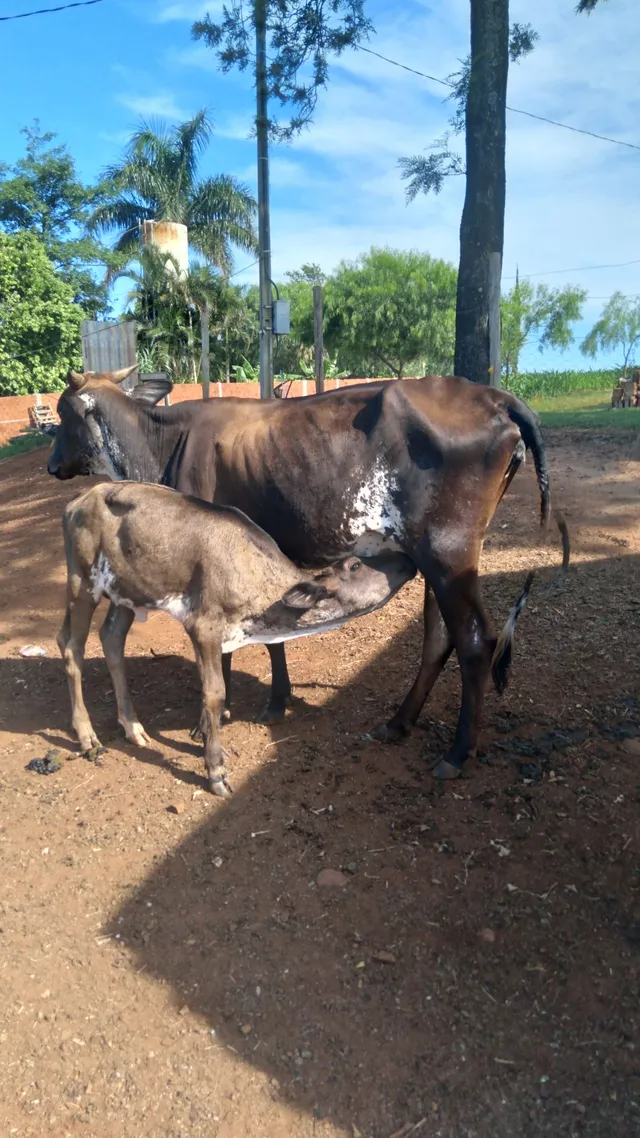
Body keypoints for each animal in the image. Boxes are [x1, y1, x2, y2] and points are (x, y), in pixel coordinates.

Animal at [60, 482, 417, 795]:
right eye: (355, 565)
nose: (406, 558)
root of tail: (76, 501)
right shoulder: (203, 626)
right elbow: (214, 694)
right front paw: (215, 771)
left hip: (127, 594)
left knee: (111, 639)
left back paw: (132, 726)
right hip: (82, 581)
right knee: (71, 645)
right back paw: (86, 734)